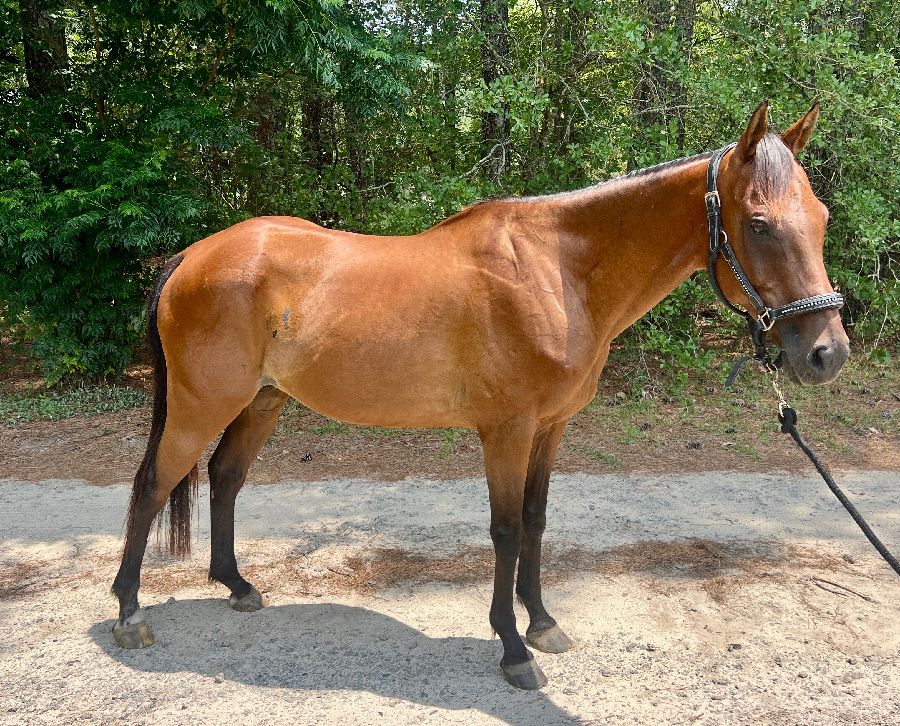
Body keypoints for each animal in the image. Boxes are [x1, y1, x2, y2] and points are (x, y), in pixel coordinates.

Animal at [111, 101, 849, 689]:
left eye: (820, 215)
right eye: (758, 223)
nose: (827, 352)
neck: (557, 273)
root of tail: (190, 257)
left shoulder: (550, 427)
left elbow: (536, 520)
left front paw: (543, 621)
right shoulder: (507, 429)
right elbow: (505, 529)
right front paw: (514, 648)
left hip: (263, 401)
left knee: (224, 476)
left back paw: (237, 586)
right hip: (202, 405)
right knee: (152, 485)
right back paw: (129, 613)